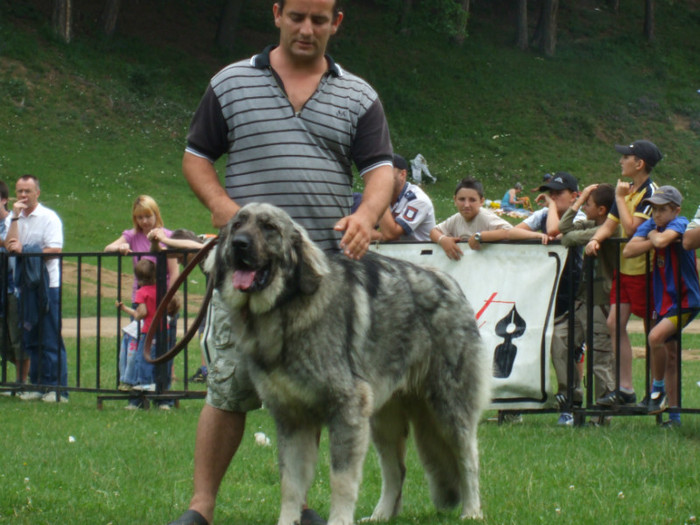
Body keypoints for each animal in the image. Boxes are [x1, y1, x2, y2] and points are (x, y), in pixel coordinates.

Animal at [211, 202, 490, 524]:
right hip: (383, 420)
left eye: (269, 228)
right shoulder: (292, 419)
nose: (239, 244)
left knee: (468, 460)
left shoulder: (346, 412)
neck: (285, 309)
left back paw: (472, 511)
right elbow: (291, 484)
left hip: (449, 409)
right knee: (397, 470)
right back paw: (382, 515)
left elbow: (341, 480)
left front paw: (339, 520)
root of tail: (451, 285)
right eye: (237, 225)